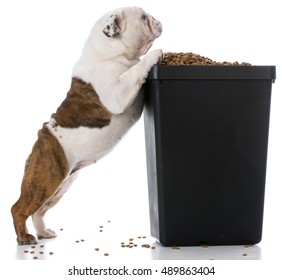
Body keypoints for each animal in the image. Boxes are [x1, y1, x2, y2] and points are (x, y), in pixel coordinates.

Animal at [11, 6, 162, 245]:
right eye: (143, 17)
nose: (156, 19)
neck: (110, 51)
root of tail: (41, 138)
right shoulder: (117, 93)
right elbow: (134, 70)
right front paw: (154, 55)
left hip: (60, 183)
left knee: (39, 210)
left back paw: (43, 232)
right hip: (46, 177)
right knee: (19, 208)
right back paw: (24, 238)